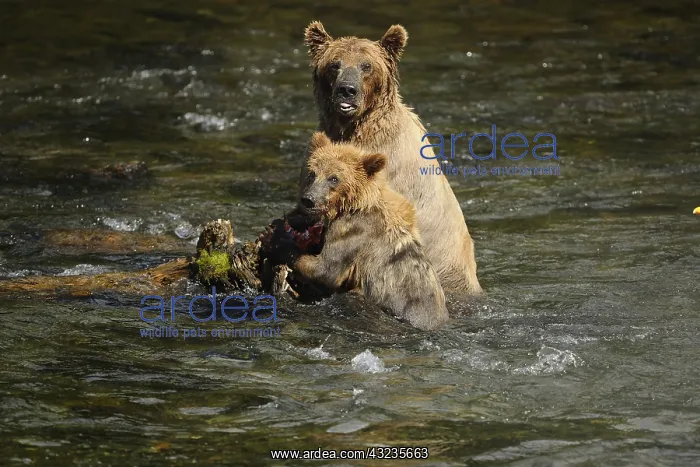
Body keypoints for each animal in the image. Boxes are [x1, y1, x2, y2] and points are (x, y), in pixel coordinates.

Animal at [266, 132, 449, 331]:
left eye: (333, 178)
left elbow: (326, 269)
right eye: (312, 173)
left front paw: (276, 238)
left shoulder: (355, 231)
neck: (355, 203)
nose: (308, 200)